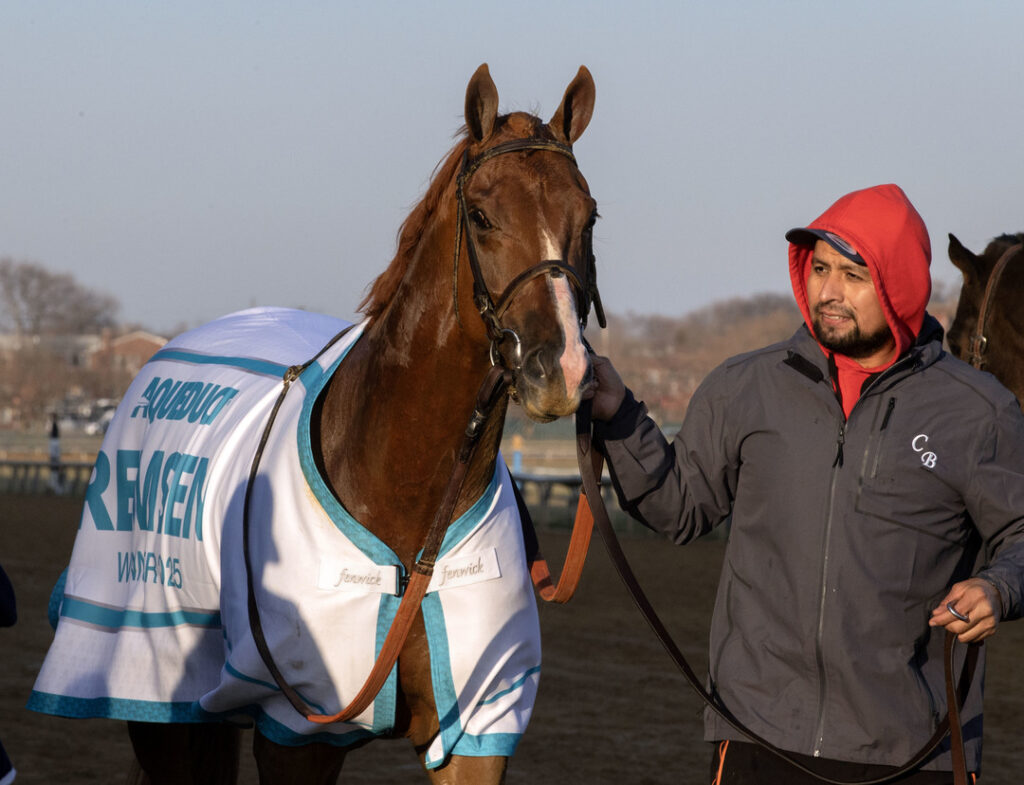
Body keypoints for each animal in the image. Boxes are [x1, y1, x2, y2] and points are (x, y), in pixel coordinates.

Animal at [28, 64, 600, 785]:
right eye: (481, 214)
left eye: (588, 215)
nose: (561, 368)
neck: (407, 511)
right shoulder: (300, 726)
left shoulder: (479, 724)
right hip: (156, 688)